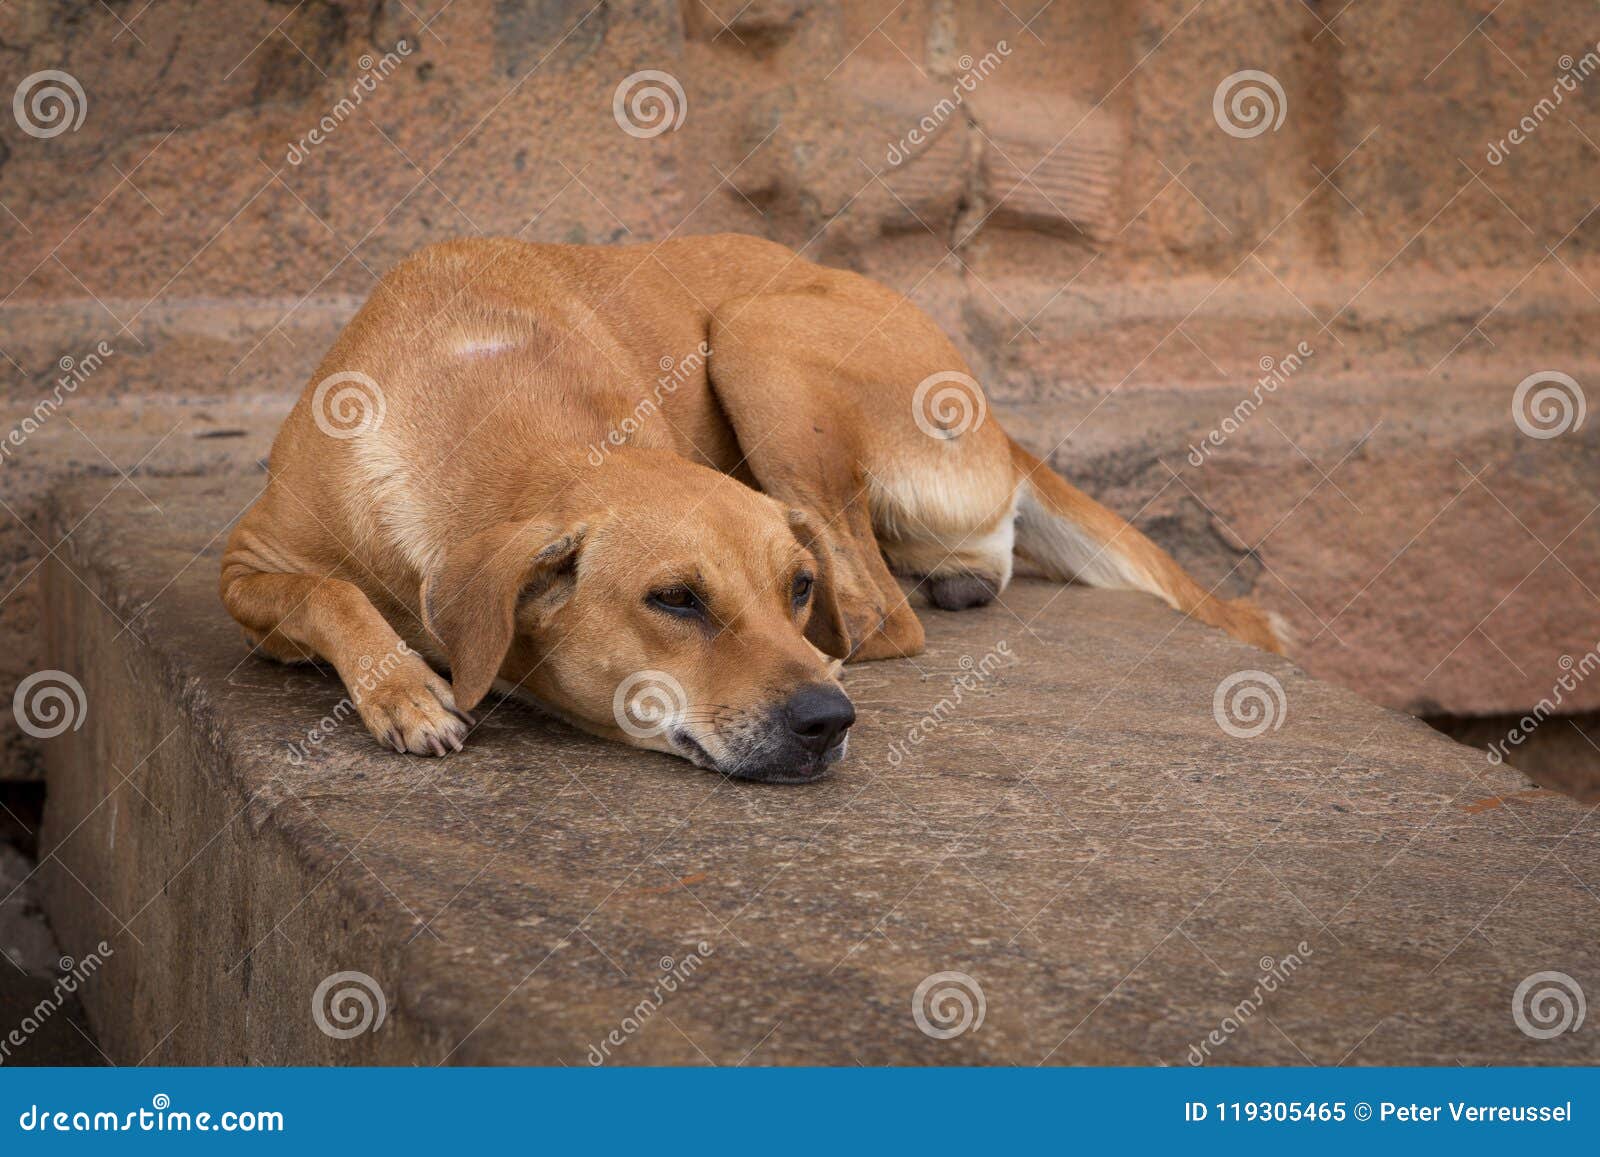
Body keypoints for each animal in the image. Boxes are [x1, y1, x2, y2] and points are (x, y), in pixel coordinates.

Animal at [219, 233, 1280, 784]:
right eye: (676, 599)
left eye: (797, 588)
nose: (828, 720)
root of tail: (1001, 422)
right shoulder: (246, 564)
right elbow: (327, 591)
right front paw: (400, 686)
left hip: (753, 331)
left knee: (882, 612)